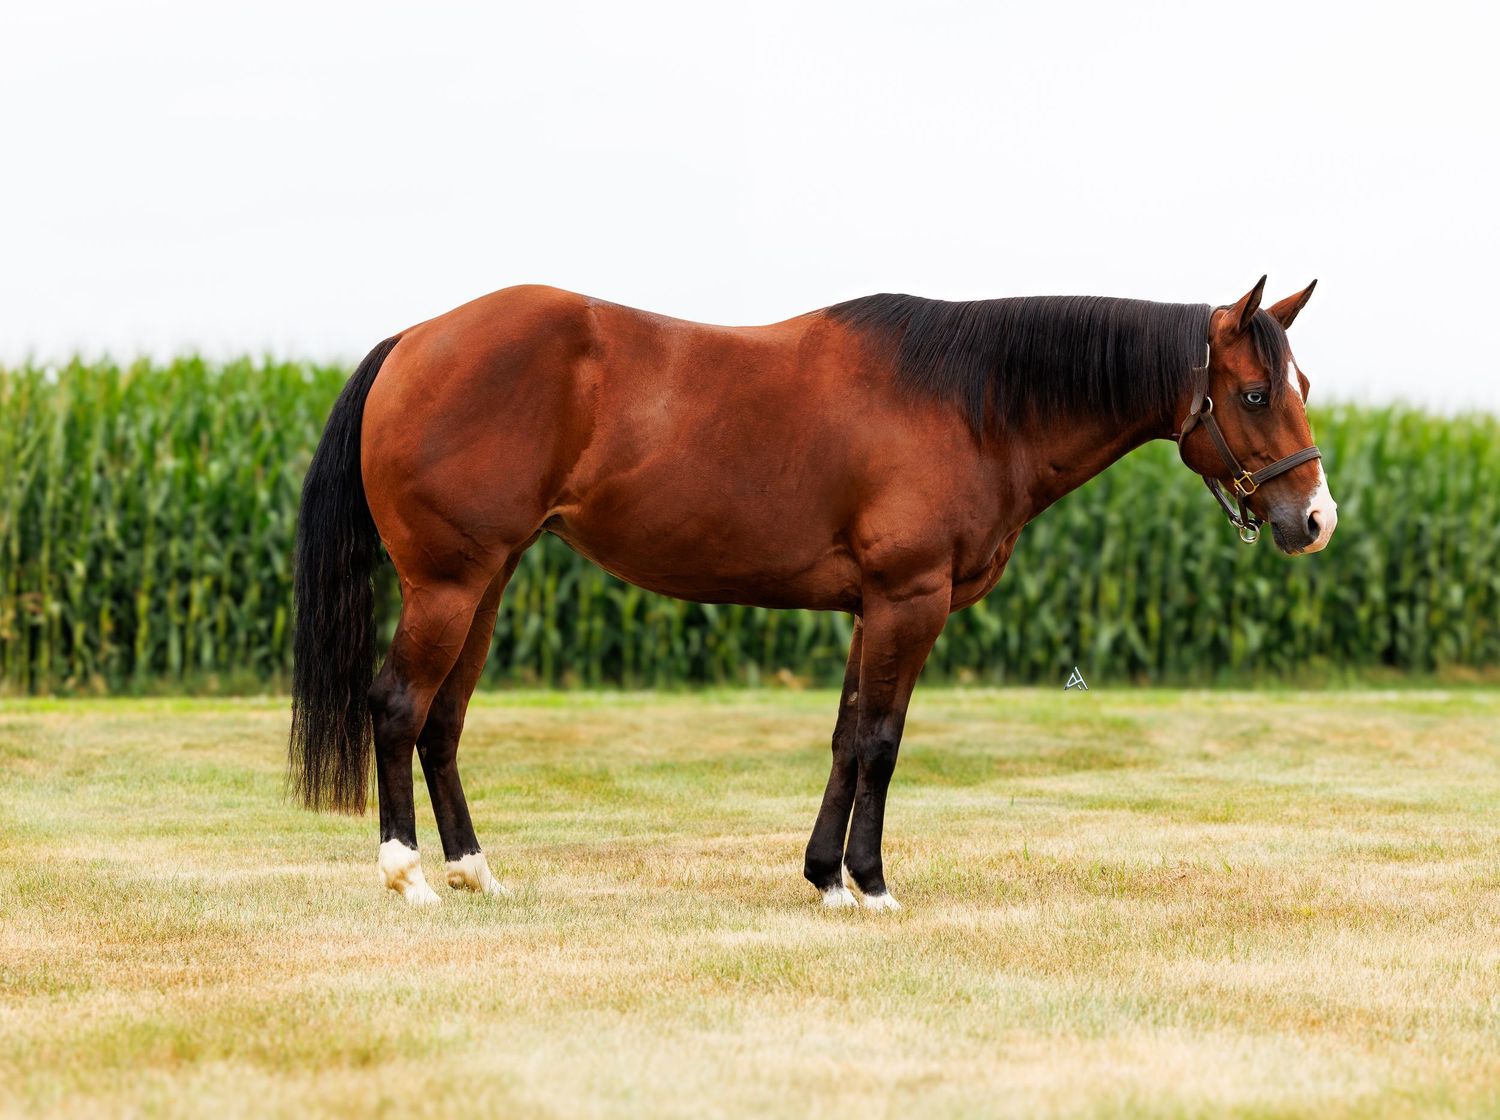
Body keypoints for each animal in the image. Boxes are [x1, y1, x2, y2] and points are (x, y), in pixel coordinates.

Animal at [289, 275, 1336, 909]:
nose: (1317, 520)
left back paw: (475, 871)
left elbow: (843, 738)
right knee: (398, 705)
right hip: (448, 582)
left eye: (1303, 384)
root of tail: (415, 340)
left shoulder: (871, 608)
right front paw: (872, 885)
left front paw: (825, 878)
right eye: (1253, 394)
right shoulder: (909, 600)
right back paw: (408, 874)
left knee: (443, 720)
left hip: (488, 583)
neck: (974, 402)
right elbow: (881, 742)